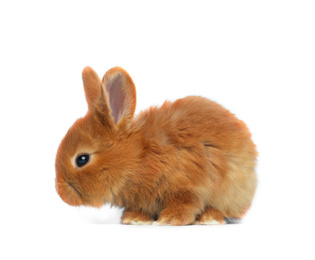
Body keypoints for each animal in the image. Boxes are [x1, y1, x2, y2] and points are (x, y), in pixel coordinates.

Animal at [55, 66, 258, 224]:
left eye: (82, 159)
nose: (61, 193)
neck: (137, 158)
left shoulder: (186, 187)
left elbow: (186, 205)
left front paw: (169, 220)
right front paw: (134, 219)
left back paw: (210, 218)